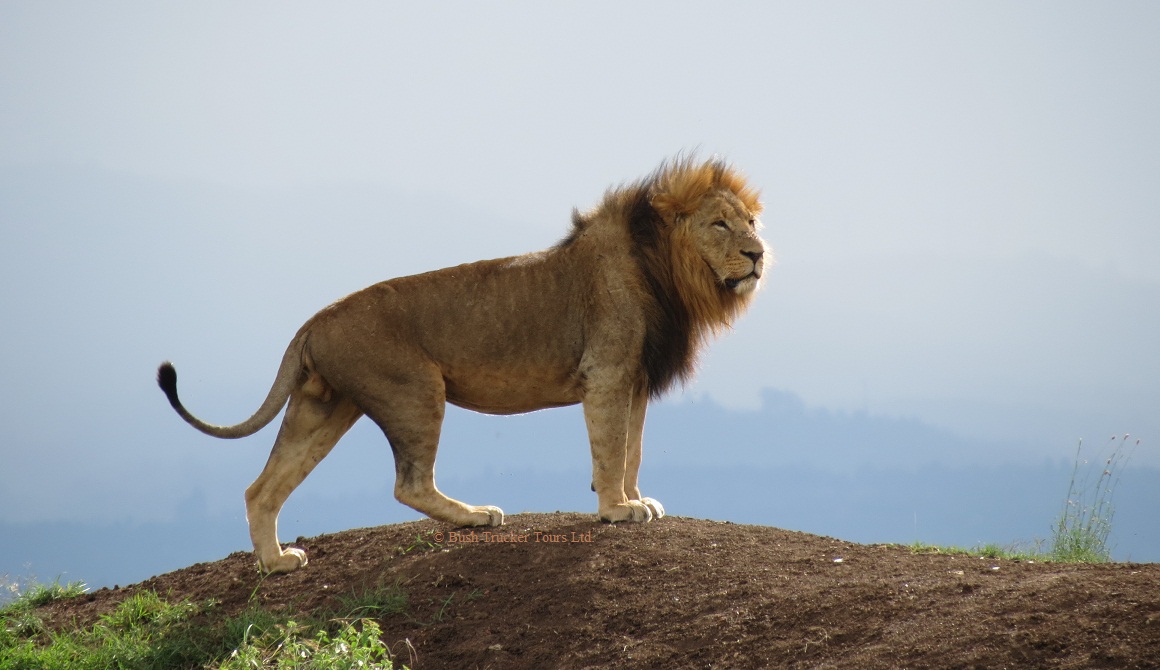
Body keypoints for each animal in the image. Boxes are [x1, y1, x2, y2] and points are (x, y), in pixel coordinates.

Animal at [156, 156, 770, 567]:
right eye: (719, 224)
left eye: (751, 222)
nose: (758, 255)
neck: (668, 272)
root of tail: (315, 320)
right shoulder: (609, 374)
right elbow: (612, 449)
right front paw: (618, 509)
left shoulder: (636, 380)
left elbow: (634, 448)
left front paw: (637, 499)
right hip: (415, 390)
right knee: (409, 484)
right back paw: (478, 515)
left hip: (325, 407)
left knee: (262, 488)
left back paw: (276, 562)